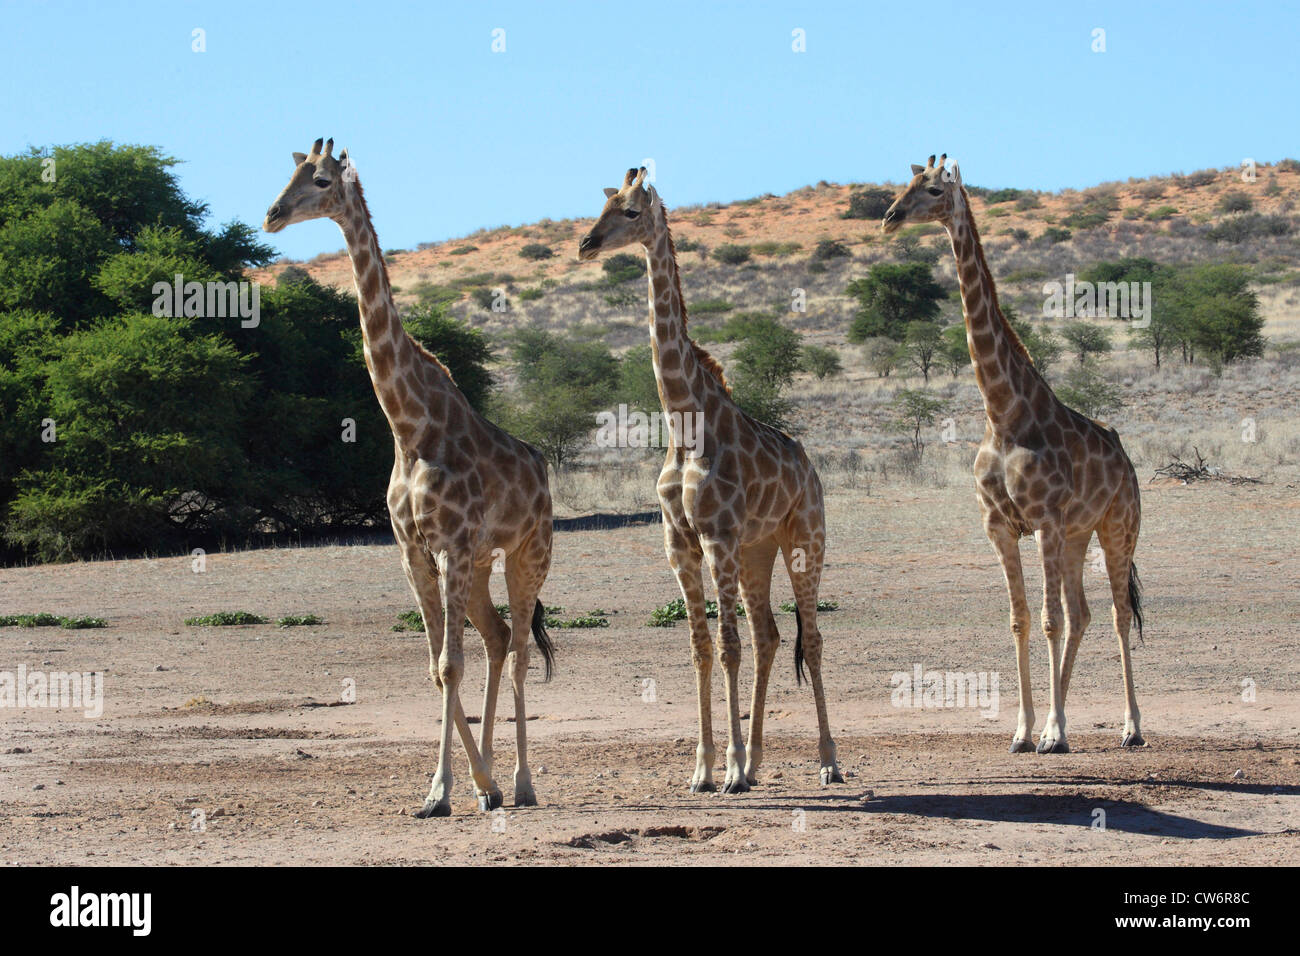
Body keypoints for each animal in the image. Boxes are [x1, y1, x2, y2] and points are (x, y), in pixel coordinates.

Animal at [263, 138, 553, 816]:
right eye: (287, 174)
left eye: (320, 179)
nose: (272, 214)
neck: (407, 425)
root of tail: (543, 469)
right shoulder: (414, 551)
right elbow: (435, 666)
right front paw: (456, 787)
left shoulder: (450, 546)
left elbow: (449, 666)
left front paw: (446, 790)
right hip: (479, 565)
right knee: (497, 637)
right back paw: (492, 782)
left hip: (528, 553)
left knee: (520, 650)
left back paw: (523, 783)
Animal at [579, 170, 842, 790]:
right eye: (602, 205)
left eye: (630, 212)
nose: (586, 244)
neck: (683, 421)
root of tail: (811, 468)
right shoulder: (680, 543)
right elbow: (701, 646)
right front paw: (705, 768)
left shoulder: (717, 536)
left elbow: (726, 647)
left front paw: (730, 769)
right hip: (757, 551)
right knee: (771, 636)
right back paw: (759, 758)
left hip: (804, 540)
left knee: (811, 637)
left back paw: (827, 761)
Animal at [878, 155, 1144, 754]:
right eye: (903, 186)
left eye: (933, 190)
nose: (889, 217)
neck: (1002, 412)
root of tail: (1126, 458)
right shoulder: (1000, 526)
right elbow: (1021, 619)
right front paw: (1026, 731)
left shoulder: (1042, 520)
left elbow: (1047, 620)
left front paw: (1054, 732)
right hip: (1077, 535)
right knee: (1082, 613)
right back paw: (1055, 723)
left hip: (1117, 526)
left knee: (1117, 612)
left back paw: (1131, 727)